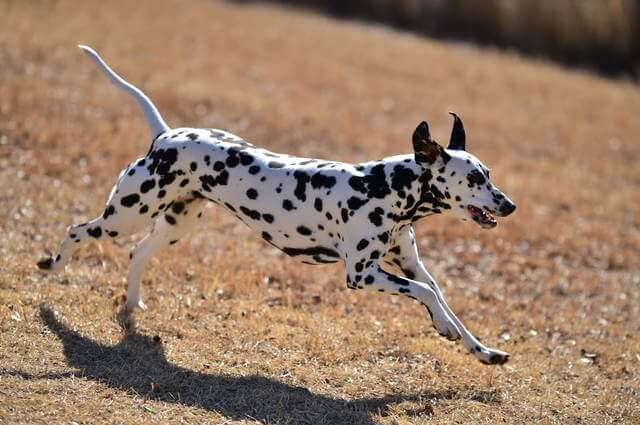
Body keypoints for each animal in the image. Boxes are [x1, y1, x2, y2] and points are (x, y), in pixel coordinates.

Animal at [37, 46, 516, 364]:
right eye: (475, 178)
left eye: (489, 173)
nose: (509, 205)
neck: (384, 187)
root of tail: (166, 134)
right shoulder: (362, 275)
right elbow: (426, 295)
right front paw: (448, 329)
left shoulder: (410, 266)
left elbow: (440, 298)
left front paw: (477, 346)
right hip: (125, 215)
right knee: (78, 231)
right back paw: (52, 268)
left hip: (174, 226)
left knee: (136, 254)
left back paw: (133, 304)